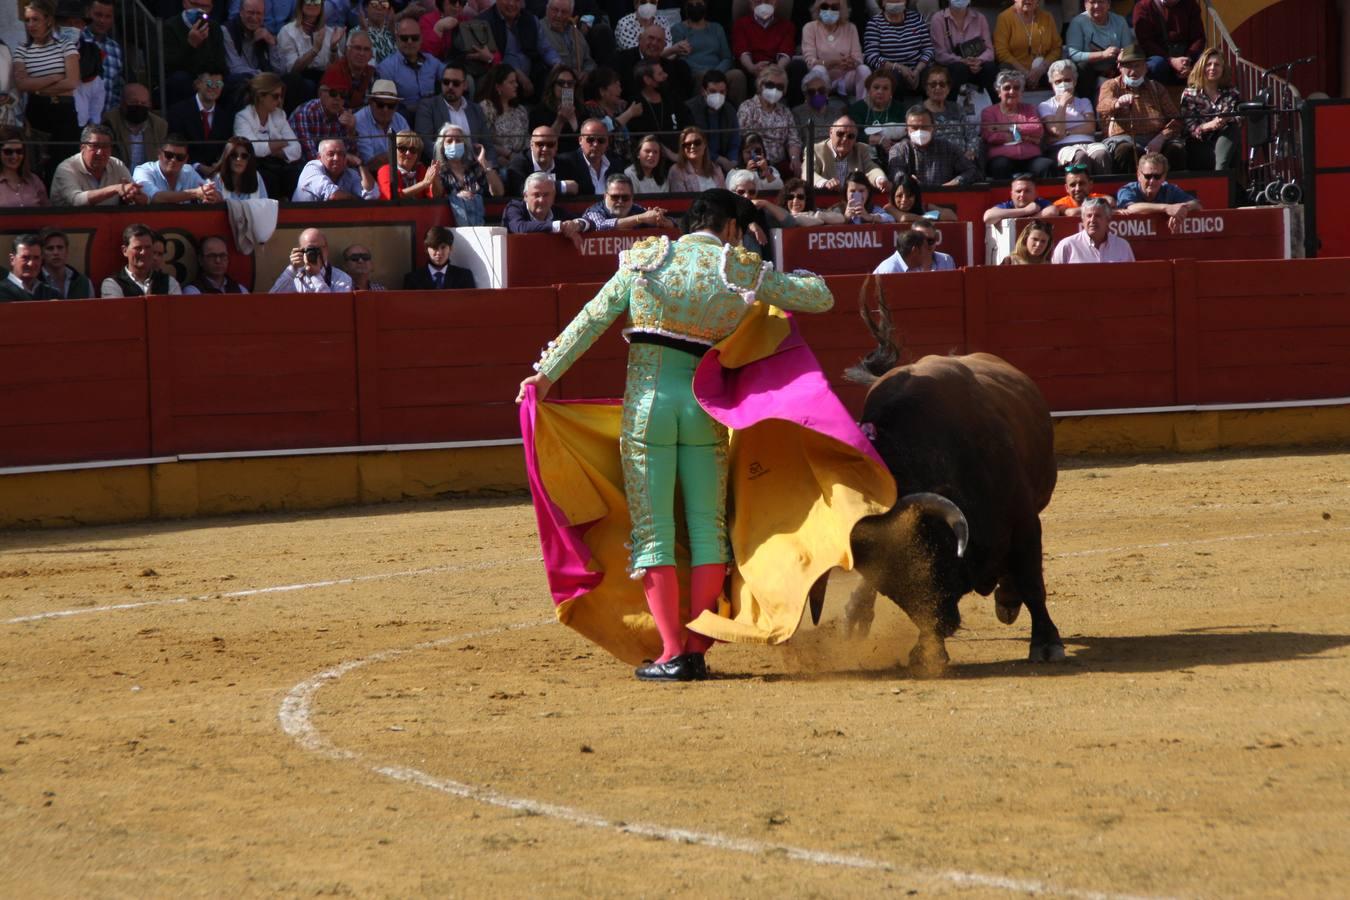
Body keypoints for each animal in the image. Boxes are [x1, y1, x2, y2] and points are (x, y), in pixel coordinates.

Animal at [810, 292, 1063, 671]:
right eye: (889, 581)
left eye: (927, 553)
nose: (943, 622)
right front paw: (928, 650)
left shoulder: (1025, 521)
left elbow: (1032, 582)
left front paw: (1046, 642)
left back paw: (1006, 600)